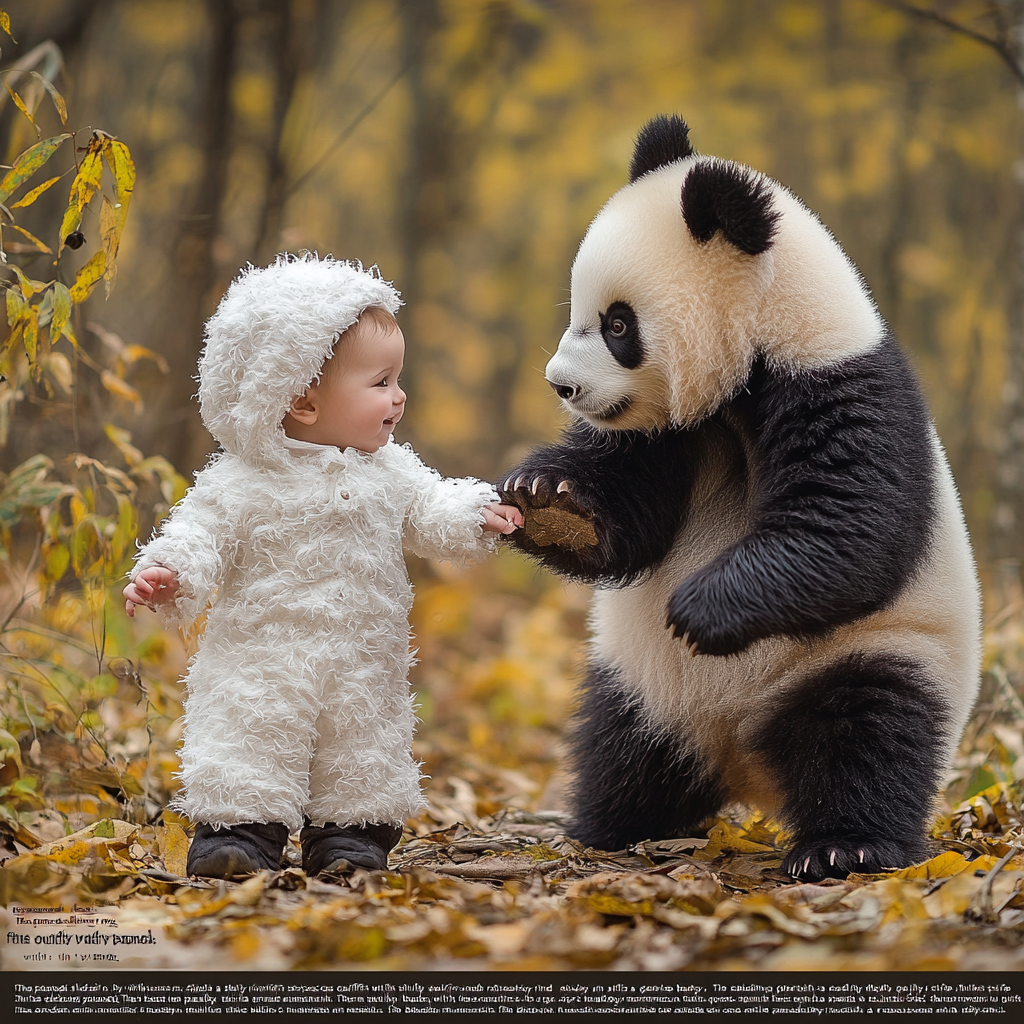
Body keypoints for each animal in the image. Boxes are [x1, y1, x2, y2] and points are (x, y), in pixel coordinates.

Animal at [499, 114, 978, 880]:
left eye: (619, 325)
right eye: (581, 311)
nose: (562, 385)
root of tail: (744, 760)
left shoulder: (837, 383)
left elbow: (846, 529)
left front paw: (700, 609)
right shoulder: (669, 432)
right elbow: (630, 519)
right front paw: (549, 499)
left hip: (881, 648)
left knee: (867, 728)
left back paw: (843, 845)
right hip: (638, 679)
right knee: (621, 748)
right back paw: (611, 827)